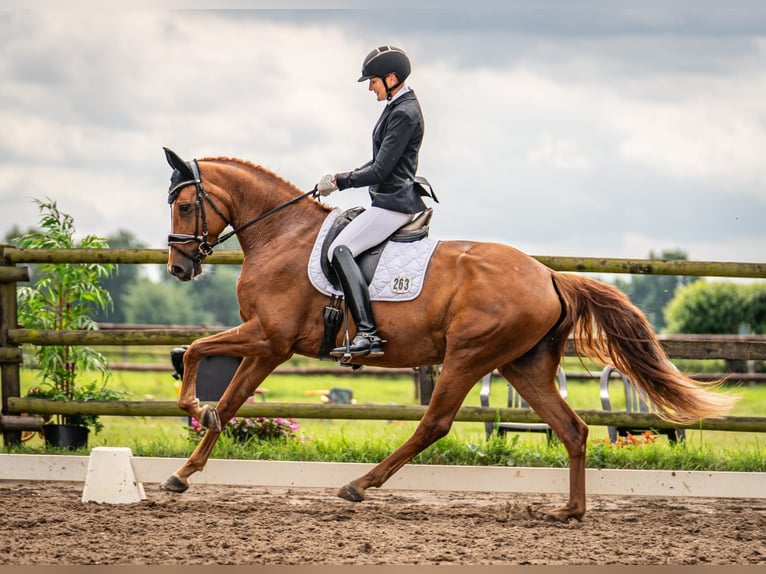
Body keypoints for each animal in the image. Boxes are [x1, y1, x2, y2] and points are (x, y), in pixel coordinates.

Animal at [159, 147, 735, 521]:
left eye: (185, 205)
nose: (180, 268)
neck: (283, 236)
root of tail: (549, 275)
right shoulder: (267, 345)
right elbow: (225, 394)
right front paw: (182, 472)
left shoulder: (269, 338)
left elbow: (200, 357)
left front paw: (192, 409)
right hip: (522, 366)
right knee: (572, 429)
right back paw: (569, 510)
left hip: (469, 355)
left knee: (434, 424)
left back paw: (359, 485)